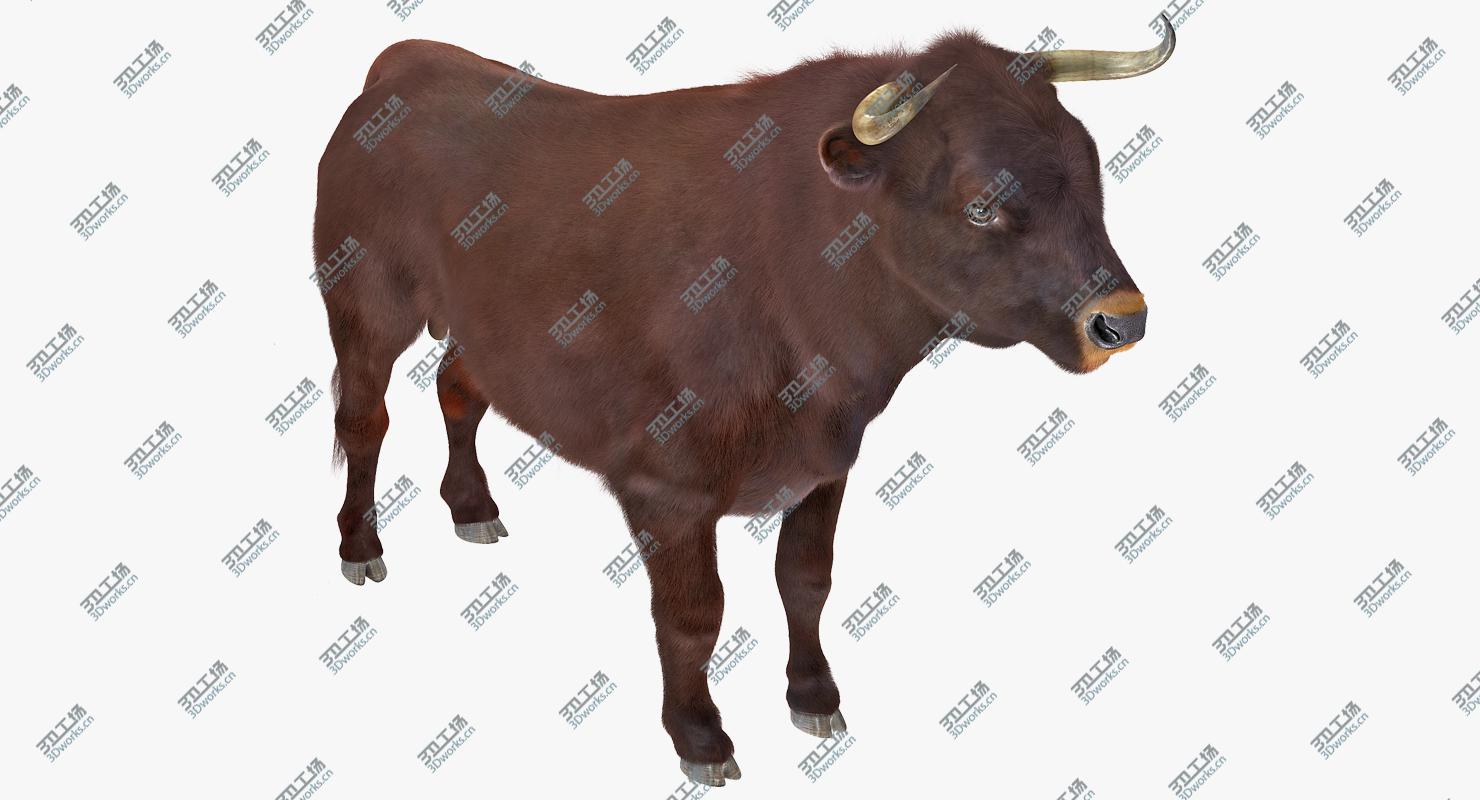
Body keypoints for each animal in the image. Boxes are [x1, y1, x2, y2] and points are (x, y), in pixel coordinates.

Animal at [313, 15, 1175, 785]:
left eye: (1093, 176)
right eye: (980, 204)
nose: (1122, 321)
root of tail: (416, 60)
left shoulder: (827, 462)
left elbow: (807, 579)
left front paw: (814, 697)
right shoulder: (667, 487)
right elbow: (694, 617)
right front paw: (700, 738)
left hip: (478, 326)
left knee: (458, 387)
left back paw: (472, 507)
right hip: (365, 303)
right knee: (365, 420)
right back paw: (360, 545)